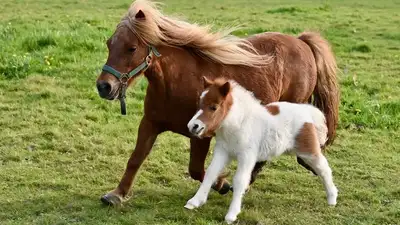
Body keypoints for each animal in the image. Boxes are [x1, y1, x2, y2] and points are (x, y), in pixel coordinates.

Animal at [95, 0, 340, 206]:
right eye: (109, 44)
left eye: (132, 48)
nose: (104, 86)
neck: (177, 82)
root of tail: (301, 42)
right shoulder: (150, 123)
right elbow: (135, 159)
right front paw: (116, 194)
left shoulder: (200, 134)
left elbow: (196, 170)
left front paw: (222, 183)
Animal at [184, 77, 338, 223]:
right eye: (199, 103)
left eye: (213, 107)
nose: (193, 126)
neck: (239, 124)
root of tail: (306, 111)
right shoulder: (223, 152)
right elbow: (211, 172)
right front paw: (195, 201)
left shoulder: (247, 156)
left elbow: (240, 180)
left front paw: (231, 215)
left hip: (308, 151)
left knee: (324, 169)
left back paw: (332, 198)